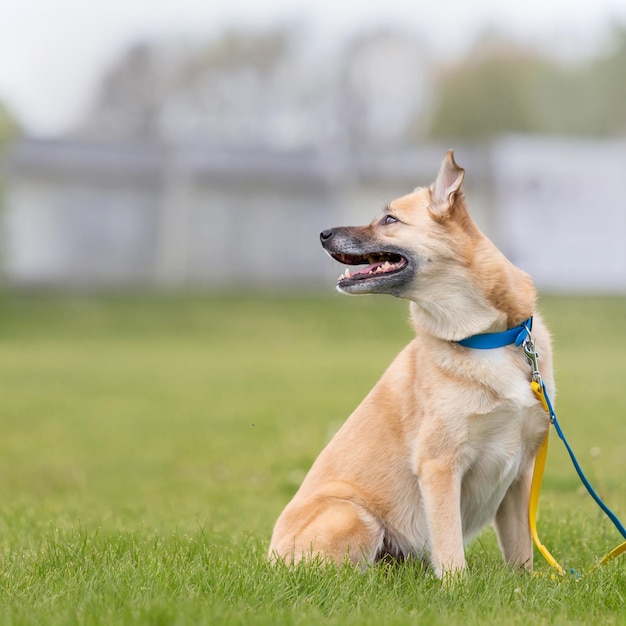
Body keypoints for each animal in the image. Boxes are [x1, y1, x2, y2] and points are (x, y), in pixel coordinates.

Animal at [266, 147, 552, 576]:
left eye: (390, 219)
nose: (322, 234)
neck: (486, 338)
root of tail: (270, 559)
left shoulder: (519, 472)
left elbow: (521, 552)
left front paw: (524, 583)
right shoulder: (440, 465)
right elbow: (450, 550)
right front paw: (457, 586)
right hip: (355, 515)